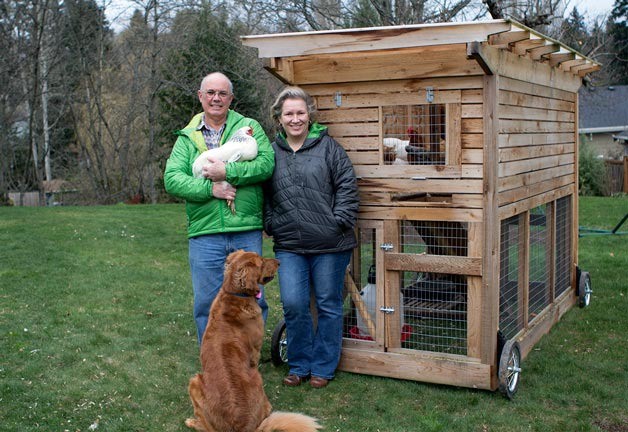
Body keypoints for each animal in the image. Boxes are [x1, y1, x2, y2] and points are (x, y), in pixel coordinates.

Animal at [185, 250, 324, 432]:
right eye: (262, 261)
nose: (279, 262)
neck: (234, 293)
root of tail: (242, 426)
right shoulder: (255, 350)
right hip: (200, 380)